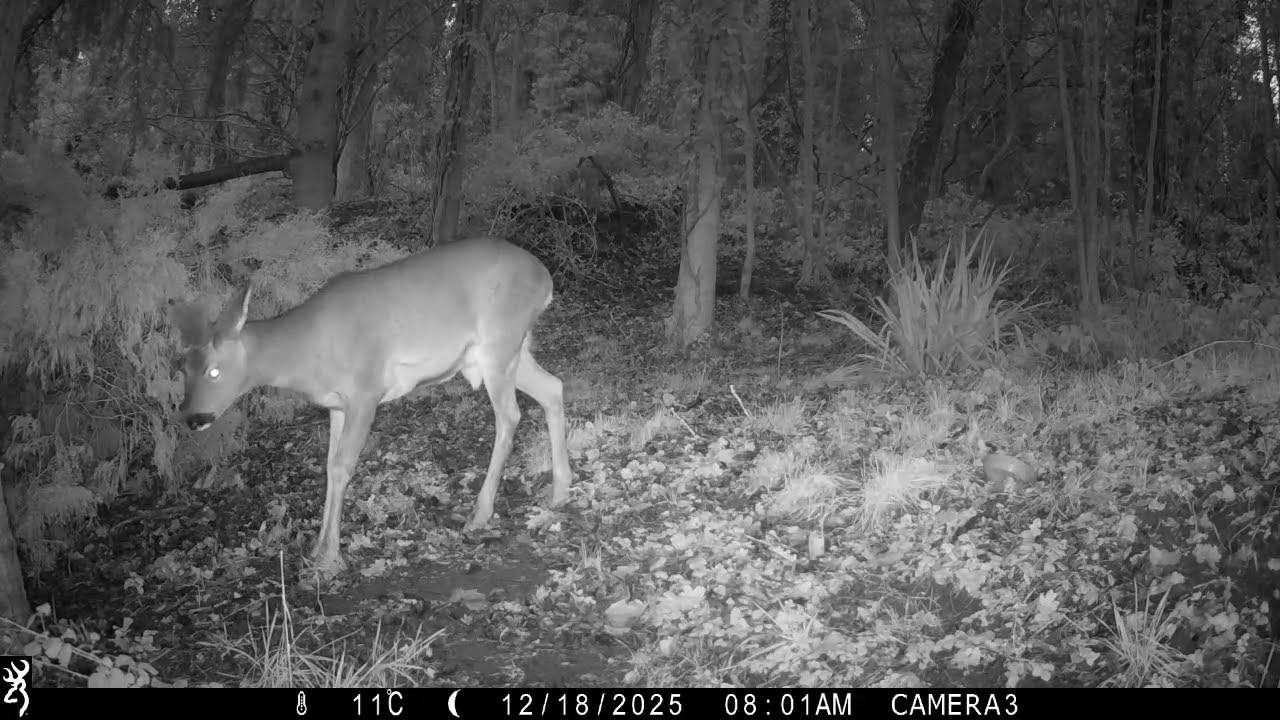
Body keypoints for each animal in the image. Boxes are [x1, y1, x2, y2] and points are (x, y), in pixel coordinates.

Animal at [170, 236, 573, 575]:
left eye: (214, 370)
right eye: (181, 369)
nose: (193, 418)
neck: (307, 351)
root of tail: (544, 277)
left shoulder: (366, 390)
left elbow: (343, 467)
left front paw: (330, 556)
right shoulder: (336, 405)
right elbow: (329, 467)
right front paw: (318, 548)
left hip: (499, 342)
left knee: (510, 415)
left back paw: (481, 513)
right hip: (509, 350)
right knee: (553, 387)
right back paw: (560, 490)